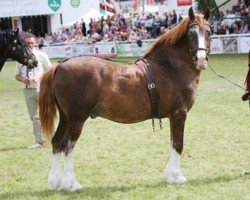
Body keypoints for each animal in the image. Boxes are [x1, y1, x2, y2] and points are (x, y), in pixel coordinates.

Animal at [39, 7, 211, 191]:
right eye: (190, 34)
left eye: (208, 32)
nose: (201, 60)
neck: (170, 68)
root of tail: (60, 65)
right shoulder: (179, 113)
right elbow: (178, 144)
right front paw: (177, 176)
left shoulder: (173, 116)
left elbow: (172, 143)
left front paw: (171, 175)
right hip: (77, 118)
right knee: (68, 145)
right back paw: (71, 183)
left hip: (65, 117)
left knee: (57, 142)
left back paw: (56, 182)